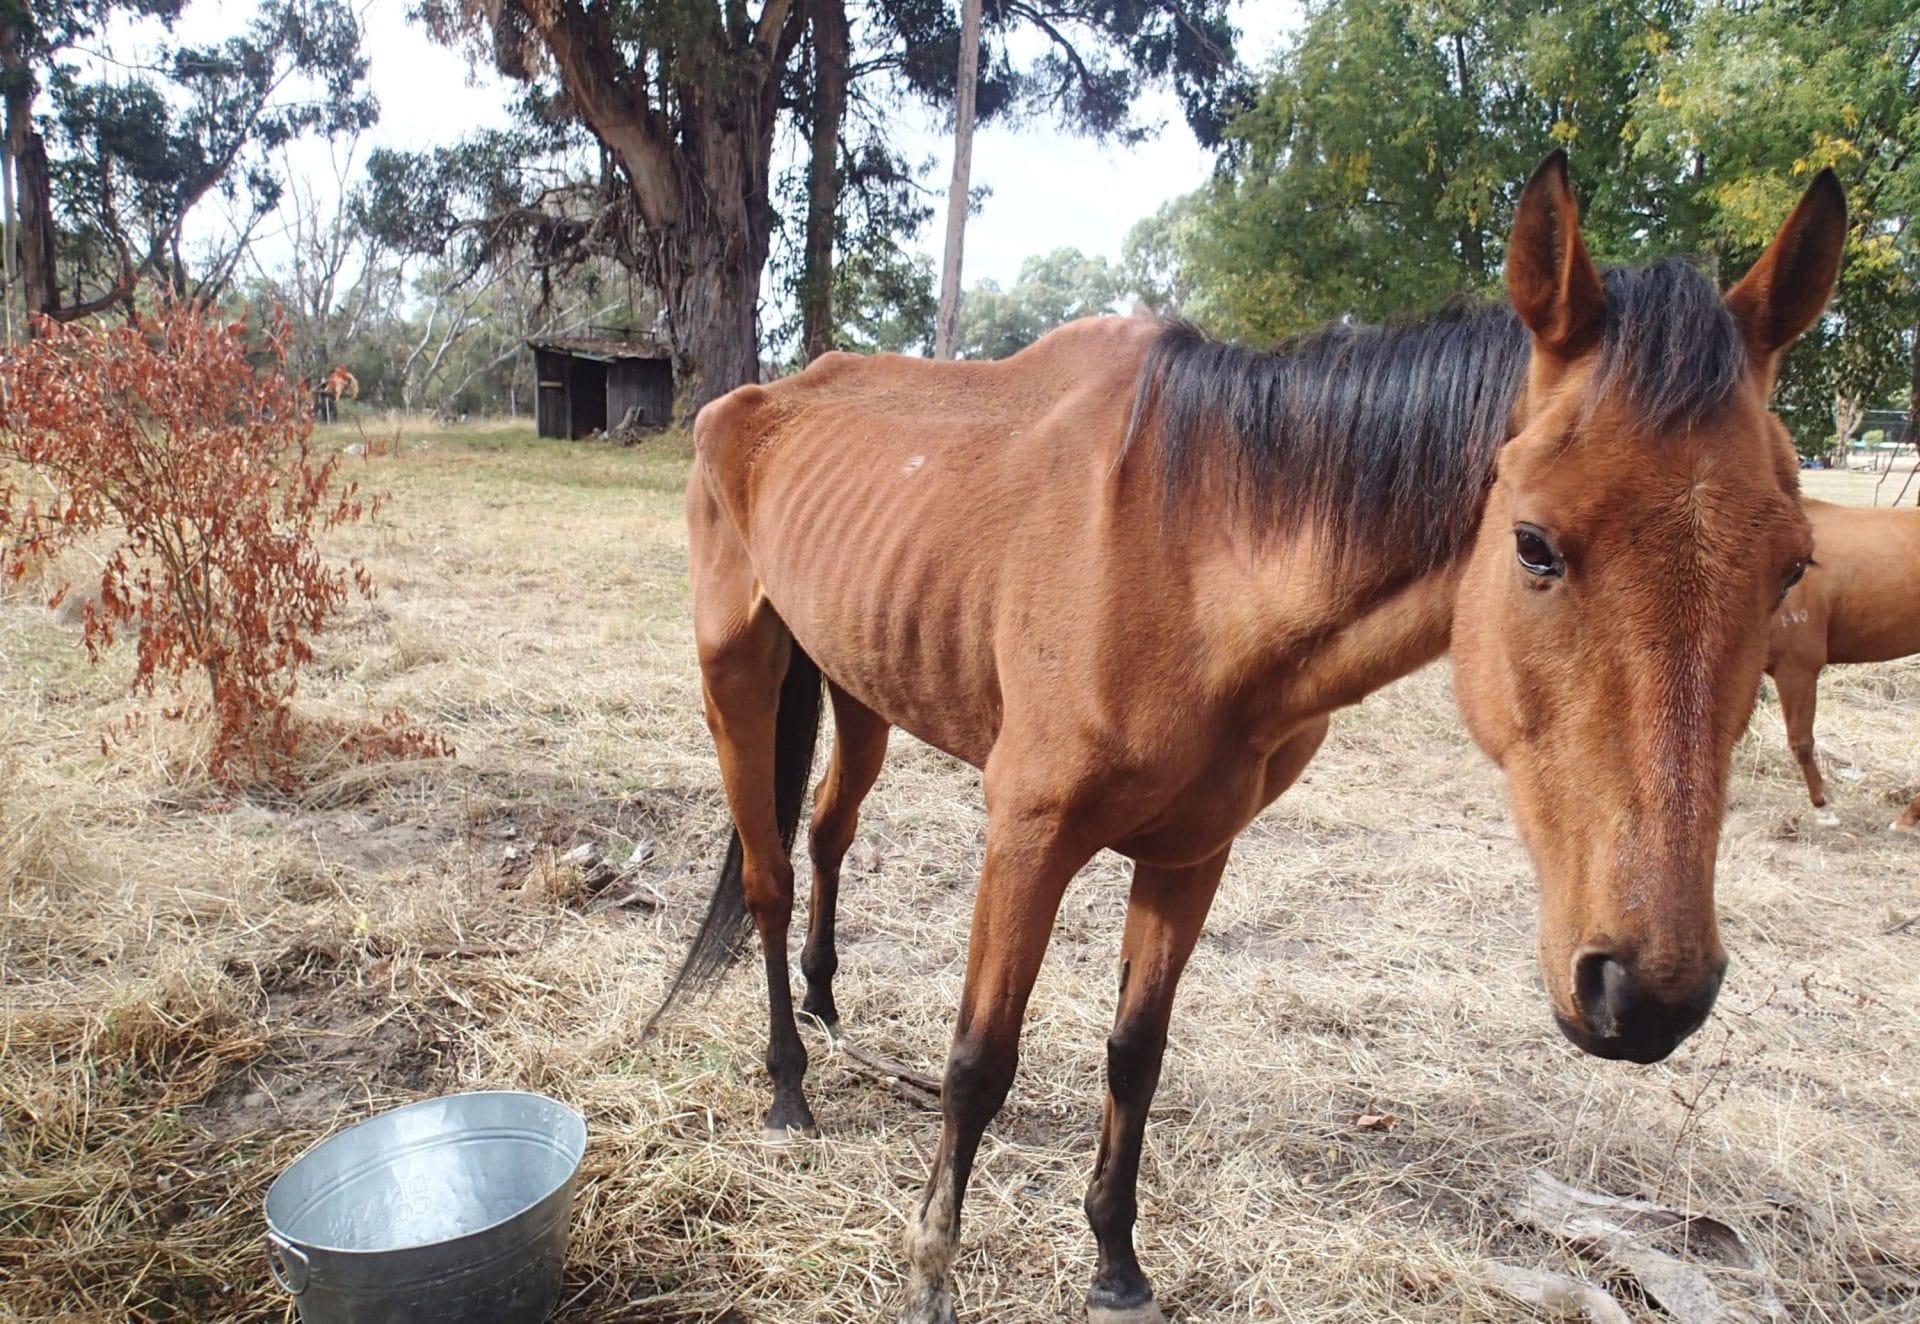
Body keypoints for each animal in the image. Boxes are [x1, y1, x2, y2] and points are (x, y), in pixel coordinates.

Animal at [660, 152, 1845, 1324]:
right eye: (1534, 545)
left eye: (1793, 564)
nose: (1648, 993)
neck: (1185, 553)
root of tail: (755, 401)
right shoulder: (1028, 831)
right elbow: (979, 1061)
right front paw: (931, 1274)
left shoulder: (1194, 849)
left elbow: (1135, 1052)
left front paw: (1116, 1263)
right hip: (738, 677)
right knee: (768, 879)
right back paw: (785, 1085)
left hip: (859, 689)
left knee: (827, 834)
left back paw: (824, 1003)